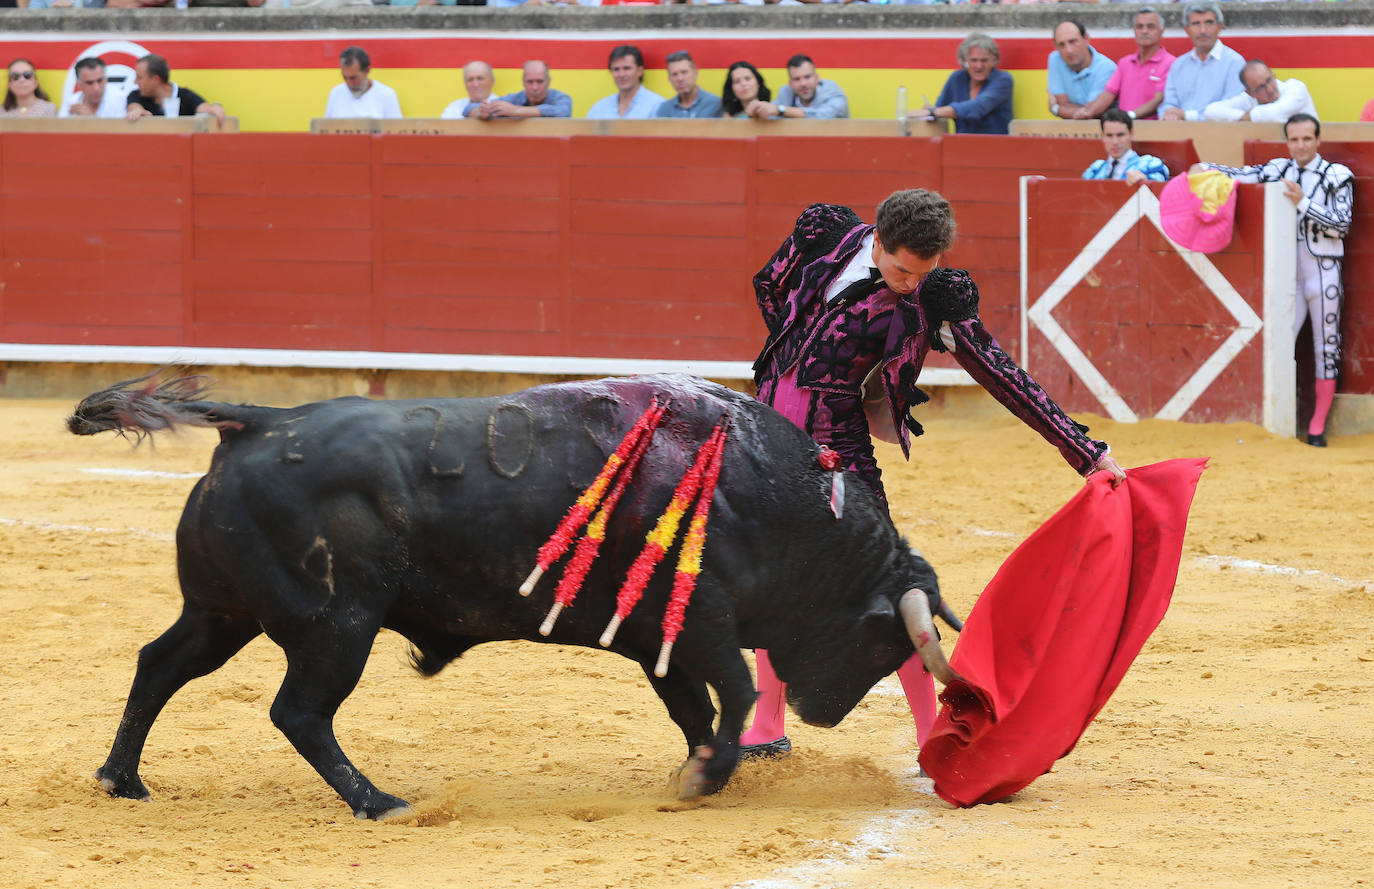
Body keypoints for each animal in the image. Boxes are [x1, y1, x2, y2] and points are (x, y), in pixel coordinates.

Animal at [69, 370, 961, 818]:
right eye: (885, 639)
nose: (823, 713)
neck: (769, 492)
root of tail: (258, 421)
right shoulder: (702, 615)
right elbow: (734, 690)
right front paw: (708, 778)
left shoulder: (658, 635)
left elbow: (694, 706)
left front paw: (705, 766)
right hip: (336, 623)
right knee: (300, 712)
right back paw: (380, 801)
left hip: (224, 611)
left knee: (160, 664)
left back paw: (121, 779)